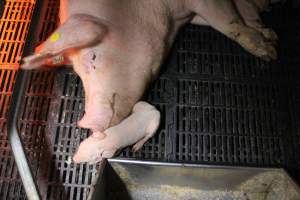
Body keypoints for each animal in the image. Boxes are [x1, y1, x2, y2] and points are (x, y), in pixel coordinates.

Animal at [22, 0, 278, 162]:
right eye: (76, 70)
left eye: (93, 56)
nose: (85, 123)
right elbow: (240, 18)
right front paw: (270, 36)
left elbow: (231, 24)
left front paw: (270, 52)